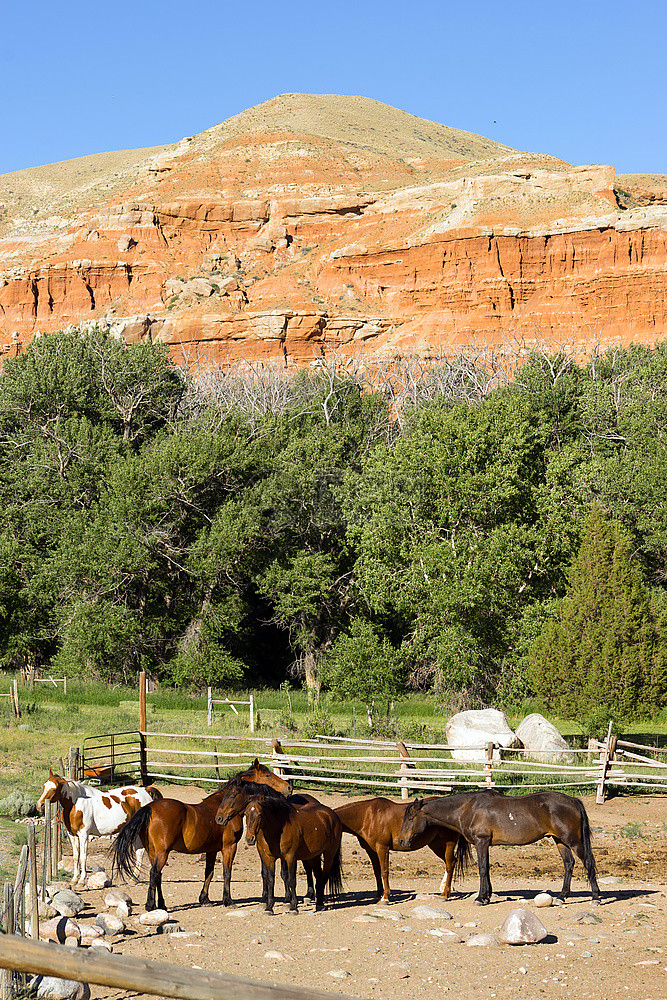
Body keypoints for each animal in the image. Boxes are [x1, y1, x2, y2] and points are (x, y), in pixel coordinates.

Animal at [111, 756, 290, 916]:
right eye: (268, 775)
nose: (288, 787)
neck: (223, 807)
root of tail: (149, 808)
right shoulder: (229, 847)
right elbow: (227, 873)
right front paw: (228, 900)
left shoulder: (211, 850)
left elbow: (208, 873)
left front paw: (205, 899)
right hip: (162, 852)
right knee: (154, 873)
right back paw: (150, 905)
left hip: (153, 852)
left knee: (158, 876)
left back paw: (161, 904)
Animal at [334, 800, 470, 904]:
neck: (368, 816)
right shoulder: (371, 851)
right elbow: (377, 872)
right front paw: (379, 894)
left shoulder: (382, 848)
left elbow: (384, 872)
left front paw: (385, 897)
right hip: (435, 844)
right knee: (451, 862)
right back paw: (444, 889)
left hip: (449, 842)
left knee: (450, 863)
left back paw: (445, 893)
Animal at [400, 788, 604, 908]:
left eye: (410, 817)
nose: (401, 841)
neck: (467, 808)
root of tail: (573, 800)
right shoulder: (485, 845)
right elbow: (487, 869)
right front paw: (487, 896)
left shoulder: (481, 842)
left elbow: (482, 869)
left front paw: (481, 898)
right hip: (559, 841)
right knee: (569, 864)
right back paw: (562, 896)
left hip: (573, 841)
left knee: (588, 863)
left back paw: (596, 898)